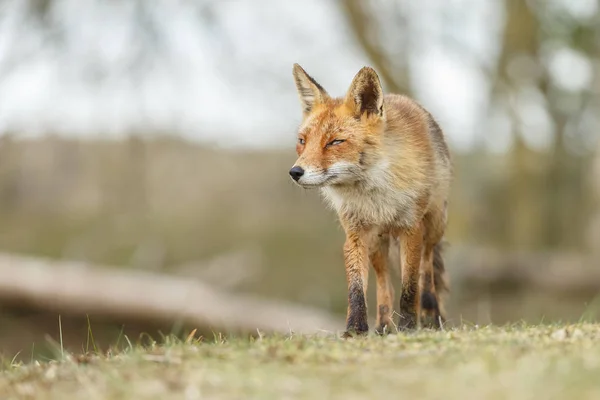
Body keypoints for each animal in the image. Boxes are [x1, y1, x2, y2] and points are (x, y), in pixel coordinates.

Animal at [290, 64, 450, 336]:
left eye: (335, 142)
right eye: (303, 141)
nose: (295, 172)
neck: (375, 197)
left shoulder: (411, 229)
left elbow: (410, 288)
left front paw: (408, 326)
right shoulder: (356, 234)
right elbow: (357, 290)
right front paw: (355, 329)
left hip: (434, 225)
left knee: (427, 268)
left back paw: (430, 314)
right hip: (378, 243)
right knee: (385, 285)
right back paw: (383, 325)